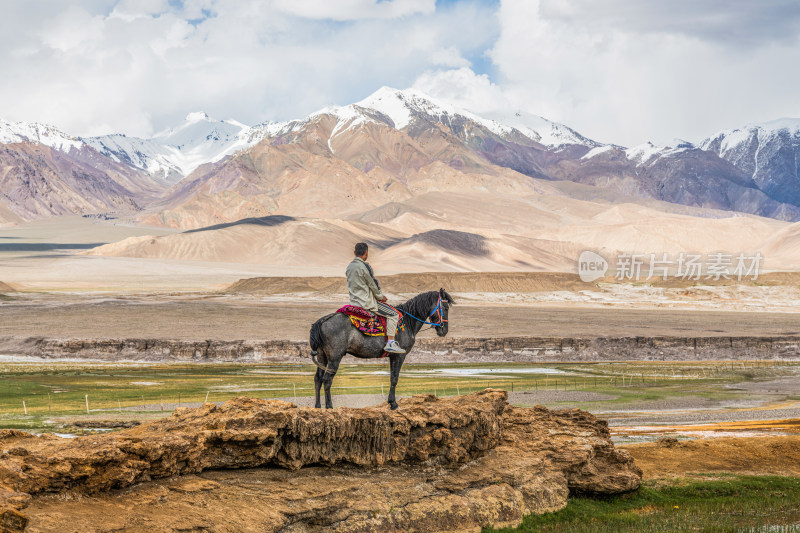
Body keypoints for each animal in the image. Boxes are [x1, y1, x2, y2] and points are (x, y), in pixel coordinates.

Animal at [308, 286, 454, 408]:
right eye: (446, 308)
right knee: (327, 380)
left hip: (322, 357)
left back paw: (317, 406)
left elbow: (392, 378)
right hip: (334, 358)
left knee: (318, 379)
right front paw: (393, 403)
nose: (444, 331)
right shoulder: (399, 356)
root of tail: (322, 321)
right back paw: (329, 407)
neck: (408, 322)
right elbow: (394, 378)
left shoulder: (392, 357)